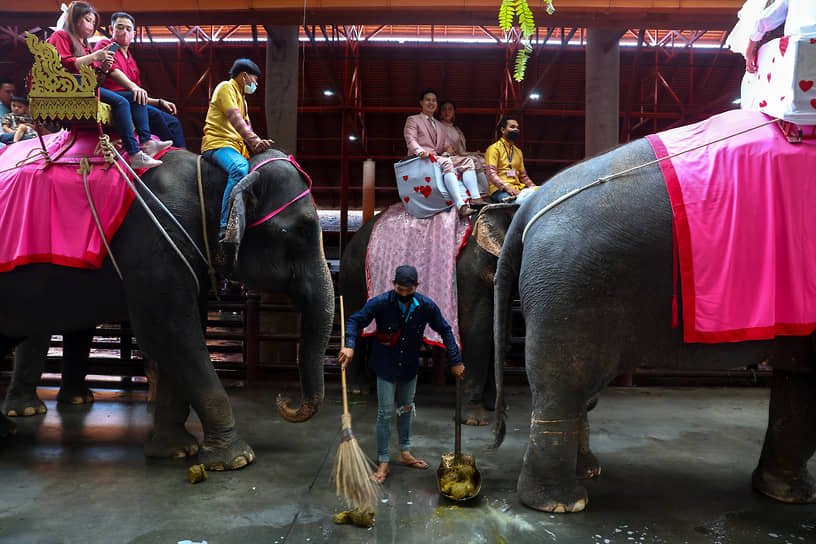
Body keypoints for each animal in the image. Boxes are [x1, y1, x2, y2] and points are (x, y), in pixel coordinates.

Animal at [0, 148, 334, 472]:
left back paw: (10, 428)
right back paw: (23, 416)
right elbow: (171, 333)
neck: (211, 178)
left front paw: (176, 451)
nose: (284, 400)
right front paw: (235, 460)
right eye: (303, 230)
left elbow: (181, 336)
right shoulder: (157, 244)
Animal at [340, 203, 516, 424]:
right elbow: (478, 331)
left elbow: (501, 333)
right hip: (354, 275)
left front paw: (499, 407)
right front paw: (474, 420)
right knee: (357, 324)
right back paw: (359, 390)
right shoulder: (471, 273)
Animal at [490, 138, 816, 512]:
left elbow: (798, 381)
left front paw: (786, 495)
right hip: (572, 284)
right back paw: (562, 503)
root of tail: (533, 204)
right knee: (563, 383)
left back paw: (581, 476)